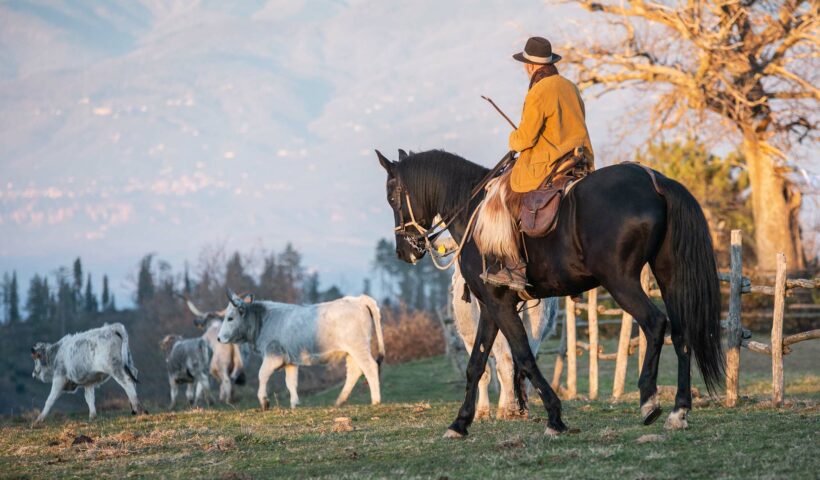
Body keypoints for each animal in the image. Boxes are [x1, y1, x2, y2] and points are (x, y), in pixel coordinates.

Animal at [218, 290, 384, 410]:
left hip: (358, 347)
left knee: (370, 367)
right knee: (355, 372)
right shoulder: (290, 361)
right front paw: (294, 404)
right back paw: (339, 401)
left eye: (230, 318)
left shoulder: (273, 355)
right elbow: (291, 382)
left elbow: (262, 374)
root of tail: (358, 299)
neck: (263, 320)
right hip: (351, 352)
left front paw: (264, 402)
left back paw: (375, 400)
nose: (219, 338)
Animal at [448, 266, 556, 420]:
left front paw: (483, 412)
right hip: (536, 325)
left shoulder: (470, 341)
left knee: (506, 363)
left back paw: (510, 411)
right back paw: (521, 410)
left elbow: (485, 372)